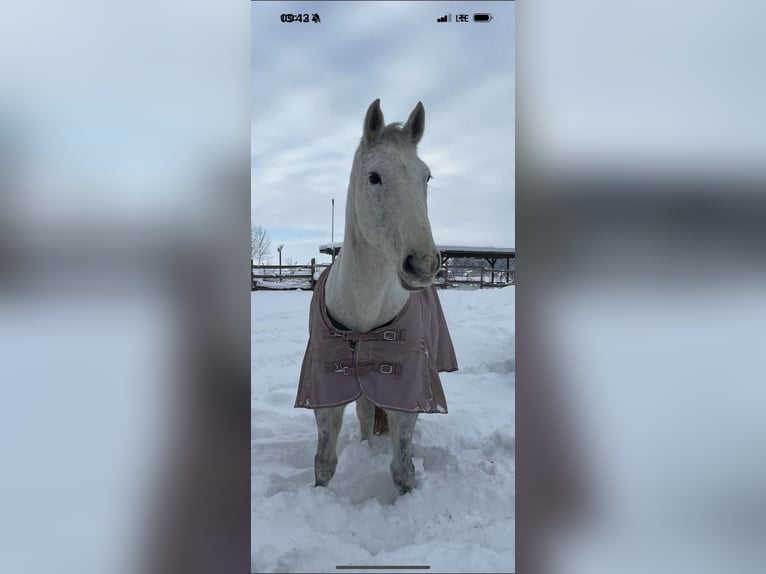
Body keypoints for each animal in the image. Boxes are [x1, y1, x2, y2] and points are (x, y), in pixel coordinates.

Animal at [296, 99, 460, 496]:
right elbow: (324, 461)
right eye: (374, 177)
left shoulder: (407, 388)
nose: (424, 263)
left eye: (426, 177)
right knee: (366, 412)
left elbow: (403, 468)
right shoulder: (325, 388)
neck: (365, 312)